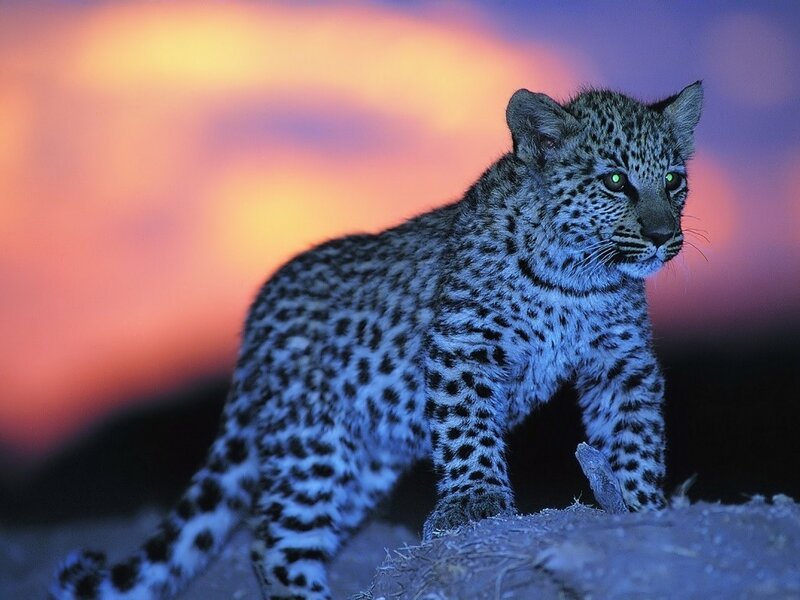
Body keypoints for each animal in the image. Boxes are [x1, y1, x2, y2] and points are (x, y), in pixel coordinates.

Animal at [51, 81, 703, 600]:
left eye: (674, 182)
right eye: (615, 181)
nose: (663, 236)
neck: (579, 276)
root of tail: (255, 318)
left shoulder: (623, 362)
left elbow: (635, 435)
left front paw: (640, 510)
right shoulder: (463, 343)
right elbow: (468, 433)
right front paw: (476, 502)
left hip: (364, 460)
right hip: (311, 444)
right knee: (273, 541)